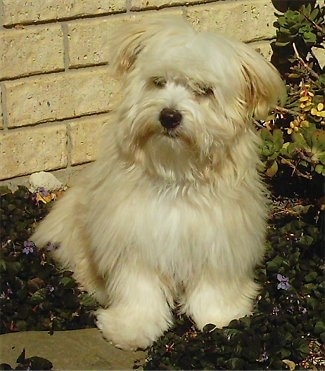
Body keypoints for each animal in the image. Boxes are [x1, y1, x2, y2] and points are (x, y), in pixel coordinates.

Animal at [31, 16, 284, 350]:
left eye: (204, 90)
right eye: (158, 82)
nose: (169, 116)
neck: (175, 175)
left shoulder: (218, 240)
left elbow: (215, 285)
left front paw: (221, 317)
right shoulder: (133, 240)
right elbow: (139, 288)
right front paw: (131, 327)